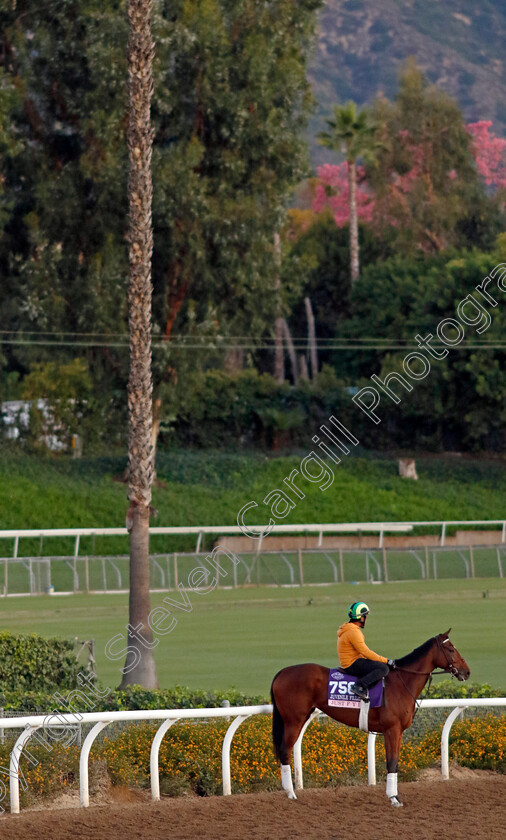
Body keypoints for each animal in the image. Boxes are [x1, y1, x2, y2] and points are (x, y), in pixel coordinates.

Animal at [270, 632, 468, 808]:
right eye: (451, 649)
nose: (467, 672)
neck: (401, 683)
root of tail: (282, 672)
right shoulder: (392, 729)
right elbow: (392, 762)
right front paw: (393, 798)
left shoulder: (398, 732)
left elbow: (395, 762)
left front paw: (396, 796)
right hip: (293, 720)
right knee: (285, 750)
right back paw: (291, 793)